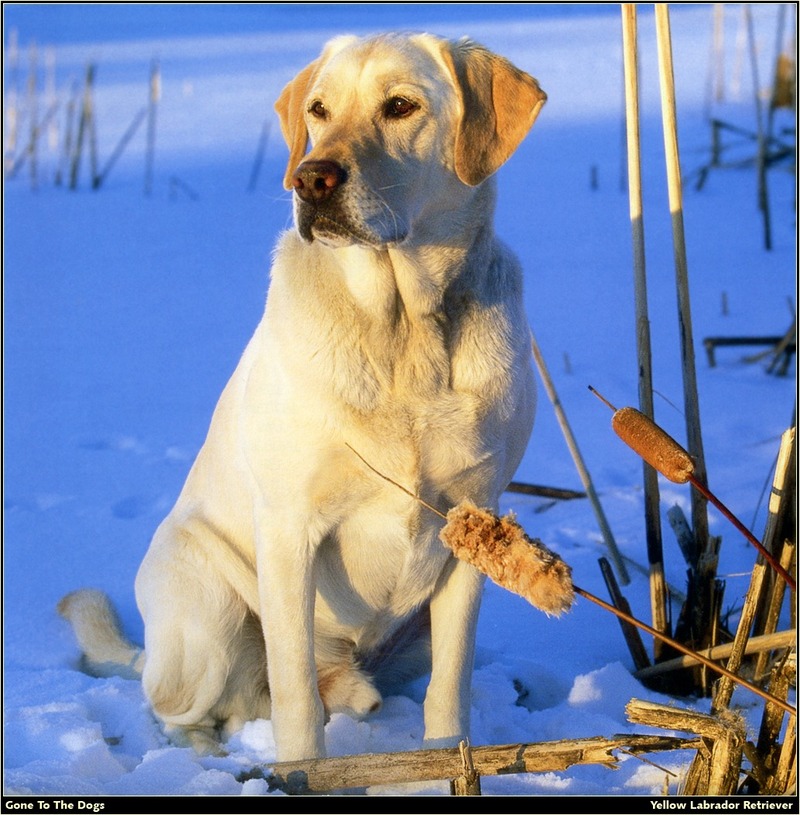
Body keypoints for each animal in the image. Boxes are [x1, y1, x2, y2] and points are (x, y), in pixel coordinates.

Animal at [61, 30, 544, 760]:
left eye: (400, 106)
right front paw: (300, 769)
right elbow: (293, 697)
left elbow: (449, 686)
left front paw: (444, 762)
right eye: (318, 109)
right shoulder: (291, 528)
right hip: (208, 611)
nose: (310, 178)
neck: (402, 329)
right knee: (191, 708)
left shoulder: (473, 522)